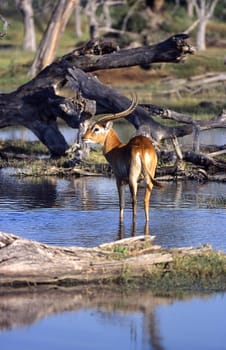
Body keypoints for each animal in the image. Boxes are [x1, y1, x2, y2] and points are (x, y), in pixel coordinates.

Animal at [82, 94, 162, 223]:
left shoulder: (119, 179)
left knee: (134, 202)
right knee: (145, 202)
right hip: (149, 179)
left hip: (132, 179)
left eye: (96, 128)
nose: (83, 137)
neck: (117, 149)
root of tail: (142, 149)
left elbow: (121, 204)